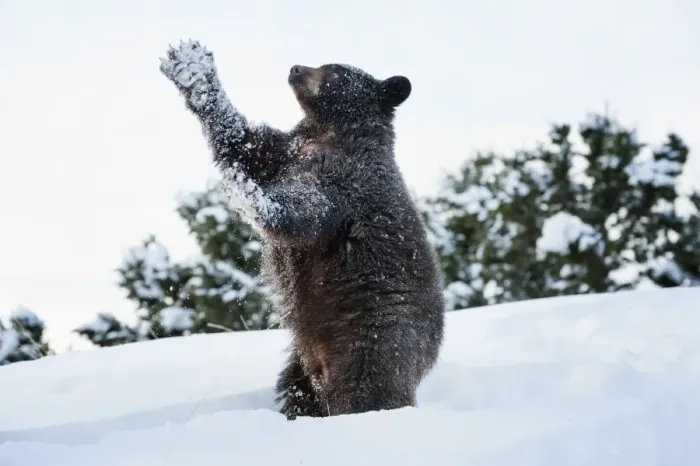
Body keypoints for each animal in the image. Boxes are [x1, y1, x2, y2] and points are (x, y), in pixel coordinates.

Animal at [159, 40, 445, 420]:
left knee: (364, 391)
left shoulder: (345, 184)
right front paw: (191, 67)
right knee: (299, 390)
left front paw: (245, 193)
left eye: (335, 71)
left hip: (376, 337)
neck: (326, 132)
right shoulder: (283, 152)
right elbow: (241, 139)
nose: (295, 68)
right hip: (302, 358)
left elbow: (303, 213)